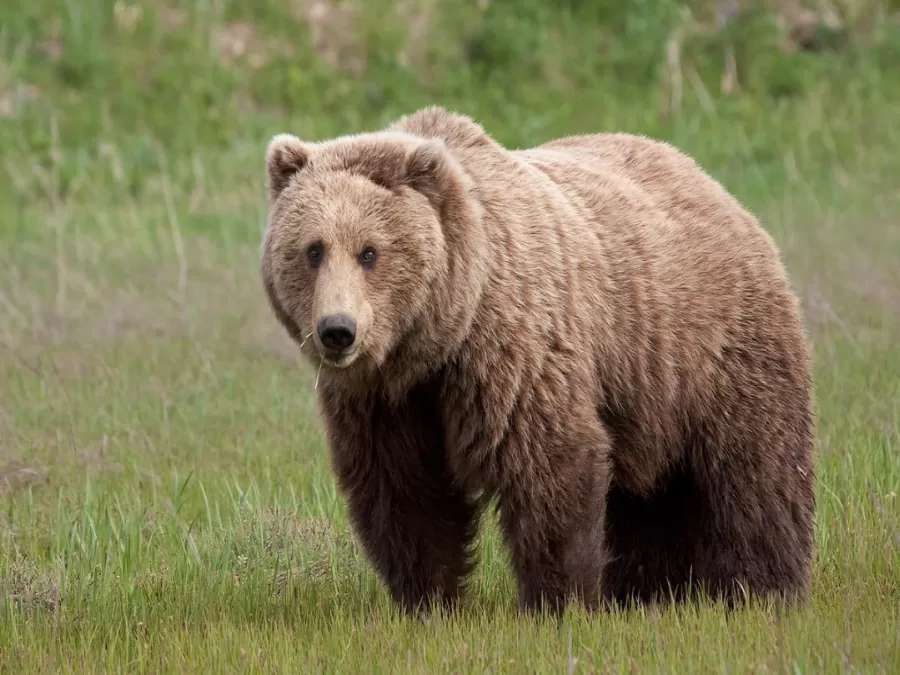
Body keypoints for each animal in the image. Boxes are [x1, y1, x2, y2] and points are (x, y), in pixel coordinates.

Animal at [258, 104, 816, 616]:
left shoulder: (513, 353)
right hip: (646, 386)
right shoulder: (387, 402)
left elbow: (547, 463)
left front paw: (558, 600)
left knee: (754, 471)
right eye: (313, 250)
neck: (438, 339)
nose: (337, 331)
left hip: (715, 348)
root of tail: (715, 187)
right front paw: (427, 600)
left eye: (370, 252)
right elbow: (405, 490)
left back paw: (763, 587)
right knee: (649, 496)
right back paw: (648, 591)